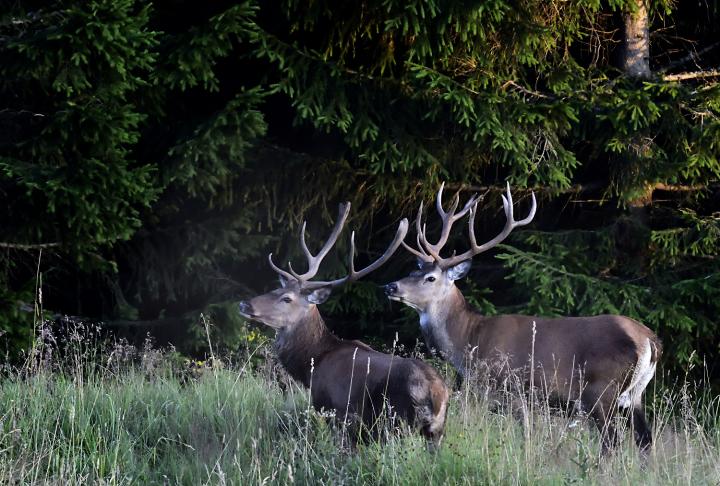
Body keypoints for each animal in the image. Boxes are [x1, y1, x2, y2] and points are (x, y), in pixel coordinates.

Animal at [239, 202, 448, 448]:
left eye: (287, 298)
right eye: (276, 289)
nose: (244, 304)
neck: (312, 364)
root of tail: (436, 395)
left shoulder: (337, 412)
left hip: (396, 422)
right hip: (435, 432)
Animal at [386, 184, 660, 454]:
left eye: (430, 278)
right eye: (413, 271)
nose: (390, 286)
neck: (469, 340)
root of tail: (649, 340)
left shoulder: (511, 389)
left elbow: (526, 435)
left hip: (600, 389)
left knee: (612, 442)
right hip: (635, 395)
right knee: (645, 439)